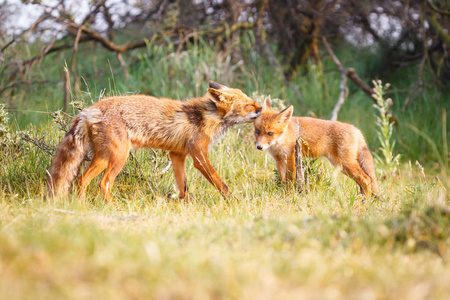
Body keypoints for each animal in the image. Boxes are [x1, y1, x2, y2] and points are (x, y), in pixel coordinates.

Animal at [47, 81, 262, 200]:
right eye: (249, 105)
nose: (261, 109)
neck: (204, 116)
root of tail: (90, 110)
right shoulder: (199, 156)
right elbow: (220, 183)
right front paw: (233, 202)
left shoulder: (177, 155)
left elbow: (183, 187)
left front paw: (186, 206)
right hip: (117, 157)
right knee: (104, 183)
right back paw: (112, 207)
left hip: (102, 157)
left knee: (82, 180)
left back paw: (81, 206)